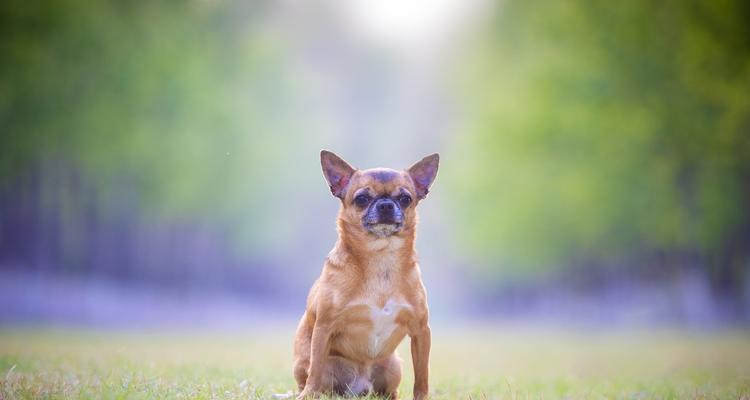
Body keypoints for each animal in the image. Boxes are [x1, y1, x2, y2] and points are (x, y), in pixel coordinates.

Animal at [290, 151, 438, 400]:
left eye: (405, 198)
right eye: (361, 199)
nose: (386, 204)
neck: (381, 258)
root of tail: (360, 387)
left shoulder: (421, 331)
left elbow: (422, 375)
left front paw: (422, 397)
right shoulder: (324, 328)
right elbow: (316, 370)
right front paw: (309, 394)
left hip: (393, 366)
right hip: (313, 363)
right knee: (315, 375)